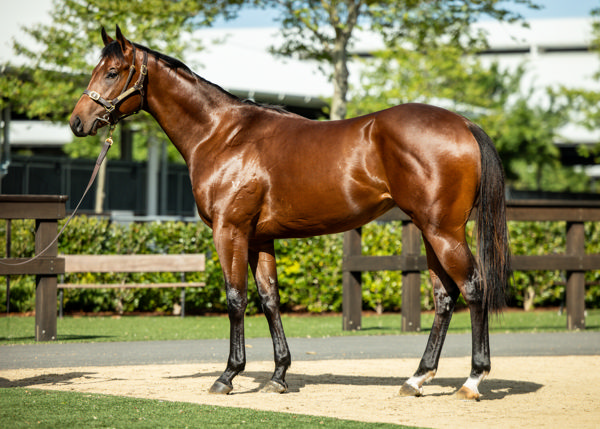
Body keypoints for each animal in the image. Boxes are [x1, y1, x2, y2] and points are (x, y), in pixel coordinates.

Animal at [71, 27, 510, 402]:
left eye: (112, 72)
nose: (78, 121)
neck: (223, 135)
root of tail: (465, 123)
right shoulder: (260, 238)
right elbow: (269, 300)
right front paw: (278, 376)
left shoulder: (230, 232)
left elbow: (235, 298)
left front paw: (227, 376)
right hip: (429, 230)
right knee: (445, 296)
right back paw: (416, 378)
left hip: (443, 231)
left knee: (474, 287)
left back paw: (472, 380)